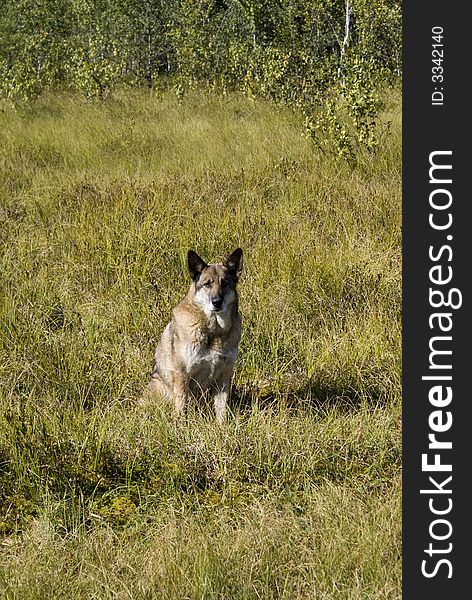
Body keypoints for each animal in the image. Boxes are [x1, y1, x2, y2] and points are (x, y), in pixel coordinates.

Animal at [146, 247, 243, 422]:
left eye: (225, 283)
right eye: (207, 284)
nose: (216, 302)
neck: (213, 330)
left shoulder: (224, 375)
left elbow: (221, 410)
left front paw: (222, 426)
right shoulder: (181, 374)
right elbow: (181, 408)